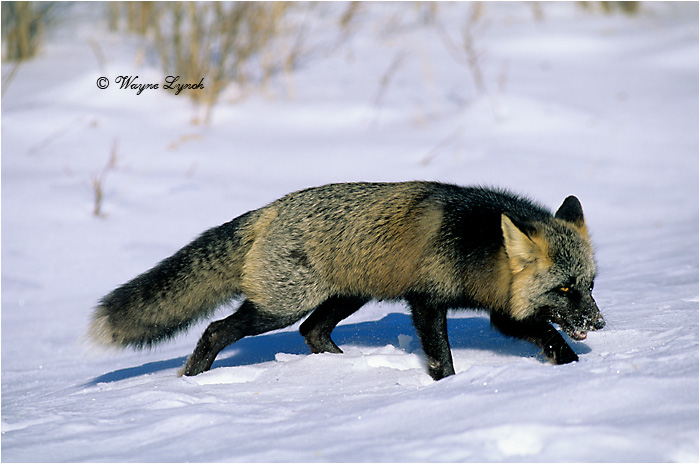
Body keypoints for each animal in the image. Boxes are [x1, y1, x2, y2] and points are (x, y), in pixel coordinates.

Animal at [89, 181, 605, 381]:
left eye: (590, 285)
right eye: (563, 289)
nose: (598, 323)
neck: (473, 244)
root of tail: (271, 208)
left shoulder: (502, 310)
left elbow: (549, 337)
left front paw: (576, 370)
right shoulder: (427, 300)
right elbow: (442, 357)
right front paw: (448, 389)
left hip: (346, 297)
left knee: (312, 331)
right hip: (281, 307)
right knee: (218, 330)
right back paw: (194, 380)